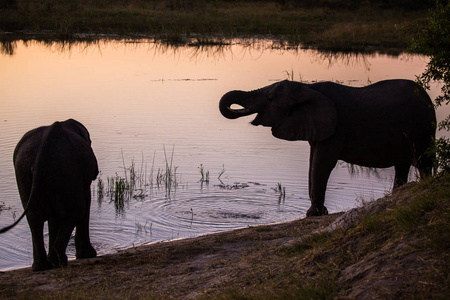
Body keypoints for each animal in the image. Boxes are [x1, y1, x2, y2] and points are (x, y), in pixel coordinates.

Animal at [0, 118, 98, 270]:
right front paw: (88, 255)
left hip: (24, 171)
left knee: (34, 217)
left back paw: (42, 266)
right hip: (63, 170)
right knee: (76, 211)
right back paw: (60, 261)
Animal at [220, 79, 438, 216]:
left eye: (270, 99)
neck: (309, 88)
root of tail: (427, 97)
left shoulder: (337, 127)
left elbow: (322, 163)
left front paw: (313, 214)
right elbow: (312, 163)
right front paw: (317, 213)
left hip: (423, 129)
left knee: (423, 164)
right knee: (402, 165)